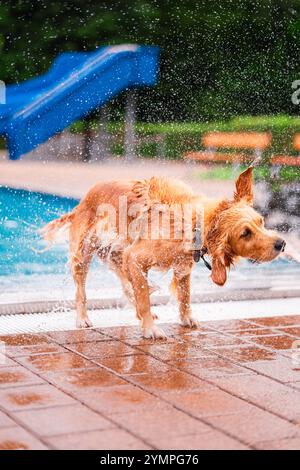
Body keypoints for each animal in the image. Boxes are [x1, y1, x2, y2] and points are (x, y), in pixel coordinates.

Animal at [41, 166, 284, 338]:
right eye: (245, 233)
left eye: (261, 222)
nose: (281, 243)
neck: (191, 223)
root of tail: (80, 203)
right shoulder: (136, 258)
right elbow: (144, 298)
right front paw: (150, 329)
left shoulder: (181, 267)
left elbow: (184, 296)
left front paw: (186, 318)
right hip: (84, 255)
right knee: (81, 292)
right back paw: (83, 318)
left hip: (117, 254)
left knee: (127, 286)